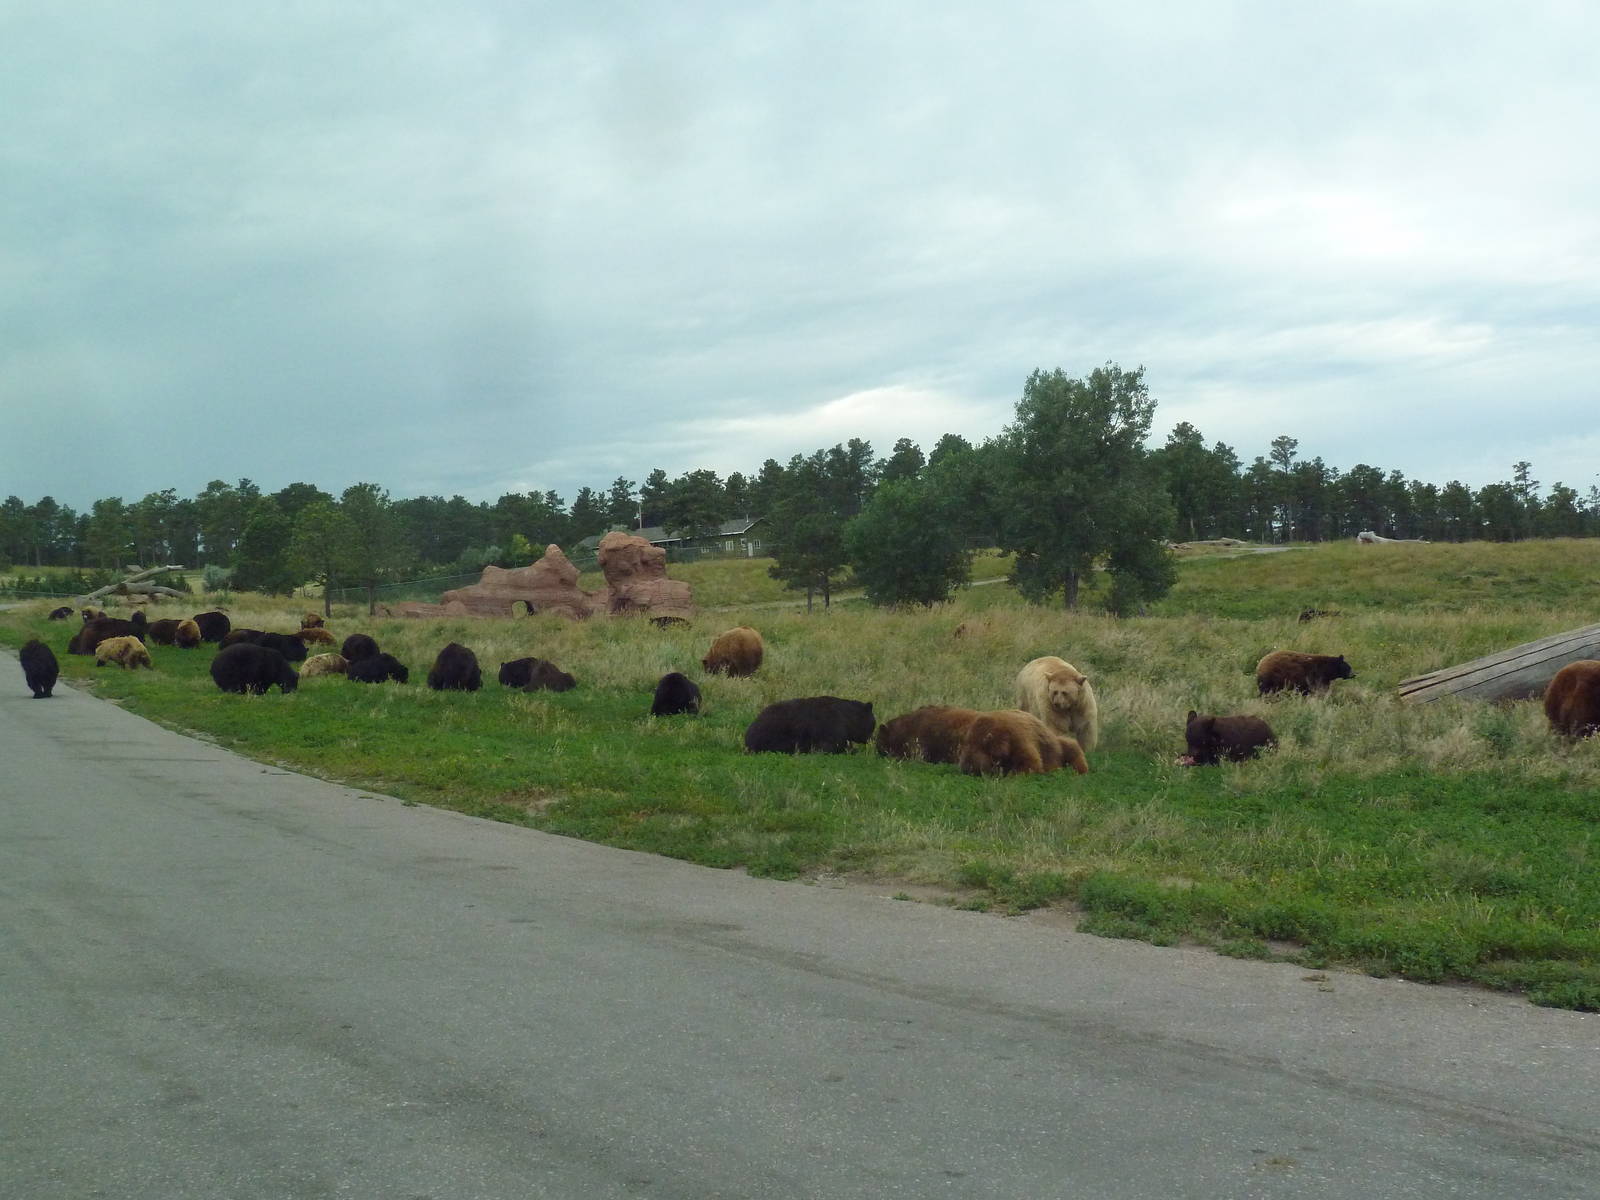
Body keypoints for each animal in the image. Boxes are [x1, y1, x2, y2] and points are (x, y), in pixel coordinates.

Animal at [743, 696, 875, 754]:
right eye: (873, 725)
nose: (872, 739)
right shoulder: (832, 725)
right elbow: (831, 745)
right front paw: (852, 750)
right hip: (775, 735)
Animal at [957, 710, 1090, 777]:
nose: (967, 769)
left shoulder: (1018, 737)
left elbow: (1030, 762)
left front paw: (1013, 773)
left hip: (1056, 744)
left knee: (1071, 747)